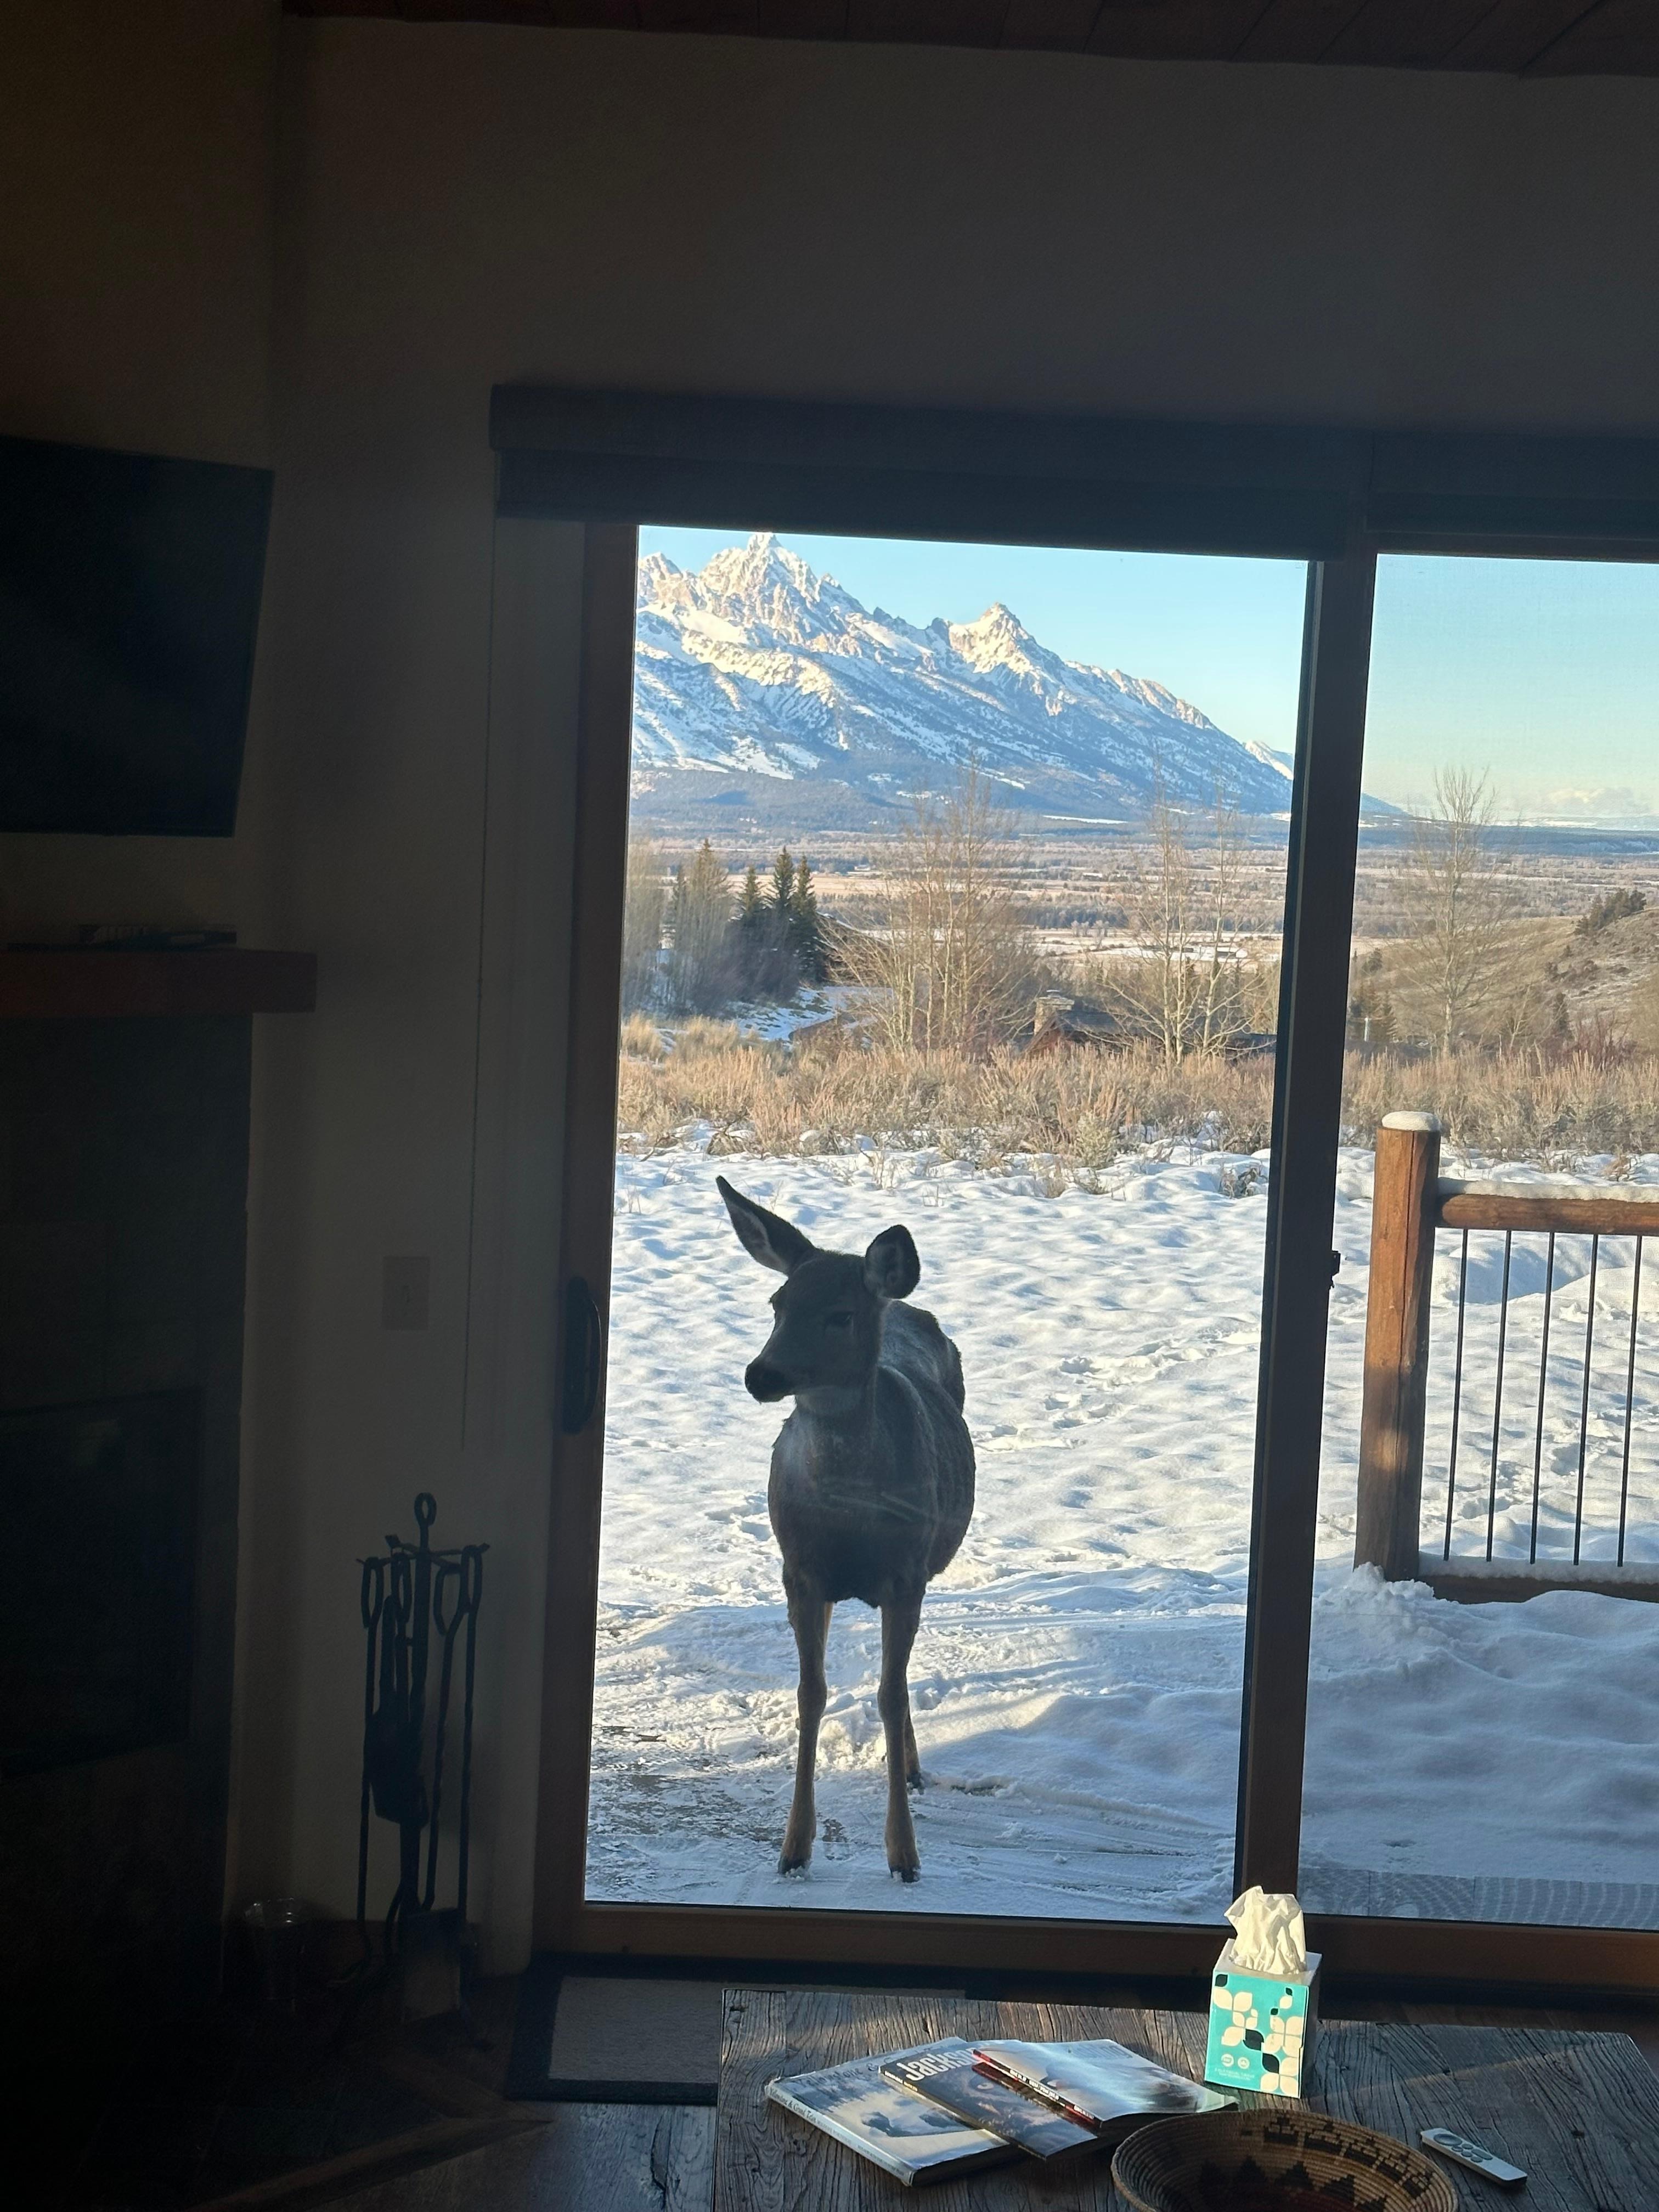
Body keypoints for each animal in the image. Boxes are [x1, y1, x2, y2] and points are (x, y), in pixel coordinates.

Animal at [716, 1176, 975, 1882]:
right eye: (777, 1304)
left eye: (840, 1314)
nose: (761, 1374)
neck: (850, 1519)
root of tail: (908, 1305)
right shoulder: (798, 1571)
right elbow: (811, 1693)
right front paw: (793, 1847)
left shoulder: (907, 1573)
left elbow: (888, 1695)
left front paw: (904, 1855)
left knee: (900, 1685)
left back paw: (911, 1769)